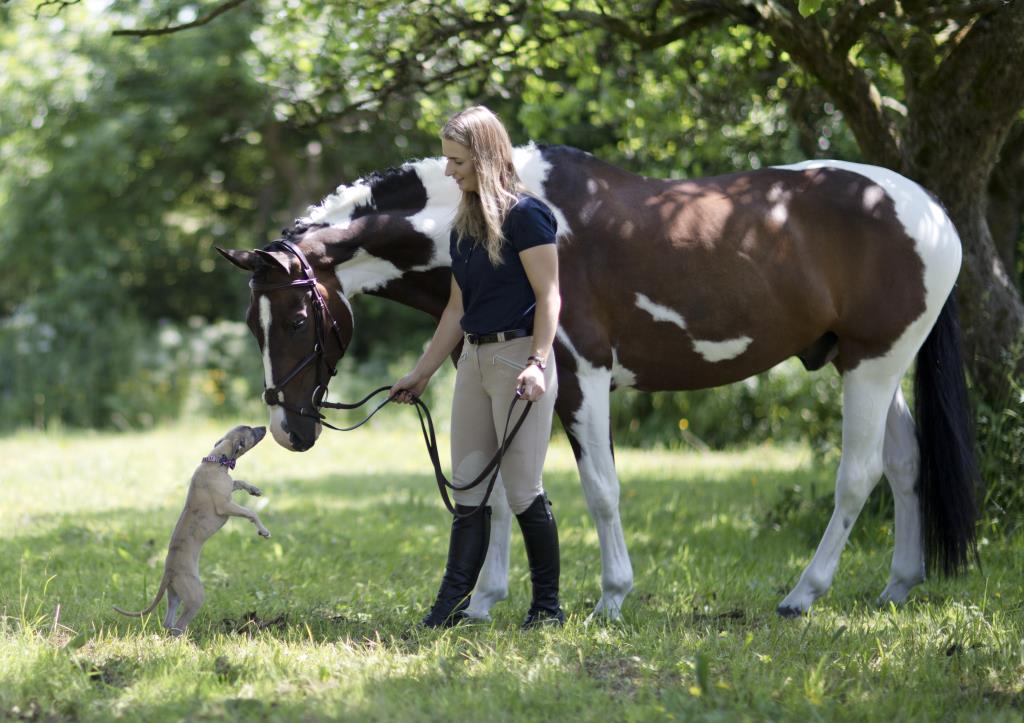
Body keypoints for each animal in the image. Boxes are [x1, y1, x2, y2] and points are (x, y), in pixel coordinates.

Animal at [115, 426, 272, 634]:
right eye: (251, 432)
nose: (264, 427)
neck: (217, 460)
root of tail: (168, 574)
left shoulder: (229, 486)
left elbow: (238, 482)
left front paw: (254, 489)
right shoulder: (225, 506)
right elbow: (251, 513)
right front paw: (264, 531)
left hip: (175, 595)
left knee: (169, 621)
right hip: (195, 595)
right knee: (179, 625)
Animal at [216, 143, 974, 618]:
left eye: (294, 318)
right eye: (254, 323)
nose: (289, 428)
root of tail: (932, 211)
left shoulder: (580, 378)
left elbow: (600, 489)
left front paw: (611, 596)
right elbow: (497, 495)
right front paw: (484, 601)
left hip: (873, 366)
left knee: (860, 473)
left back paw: (802, 595)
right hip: (872, 365)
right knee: (905, 464)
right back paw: (897, 586)